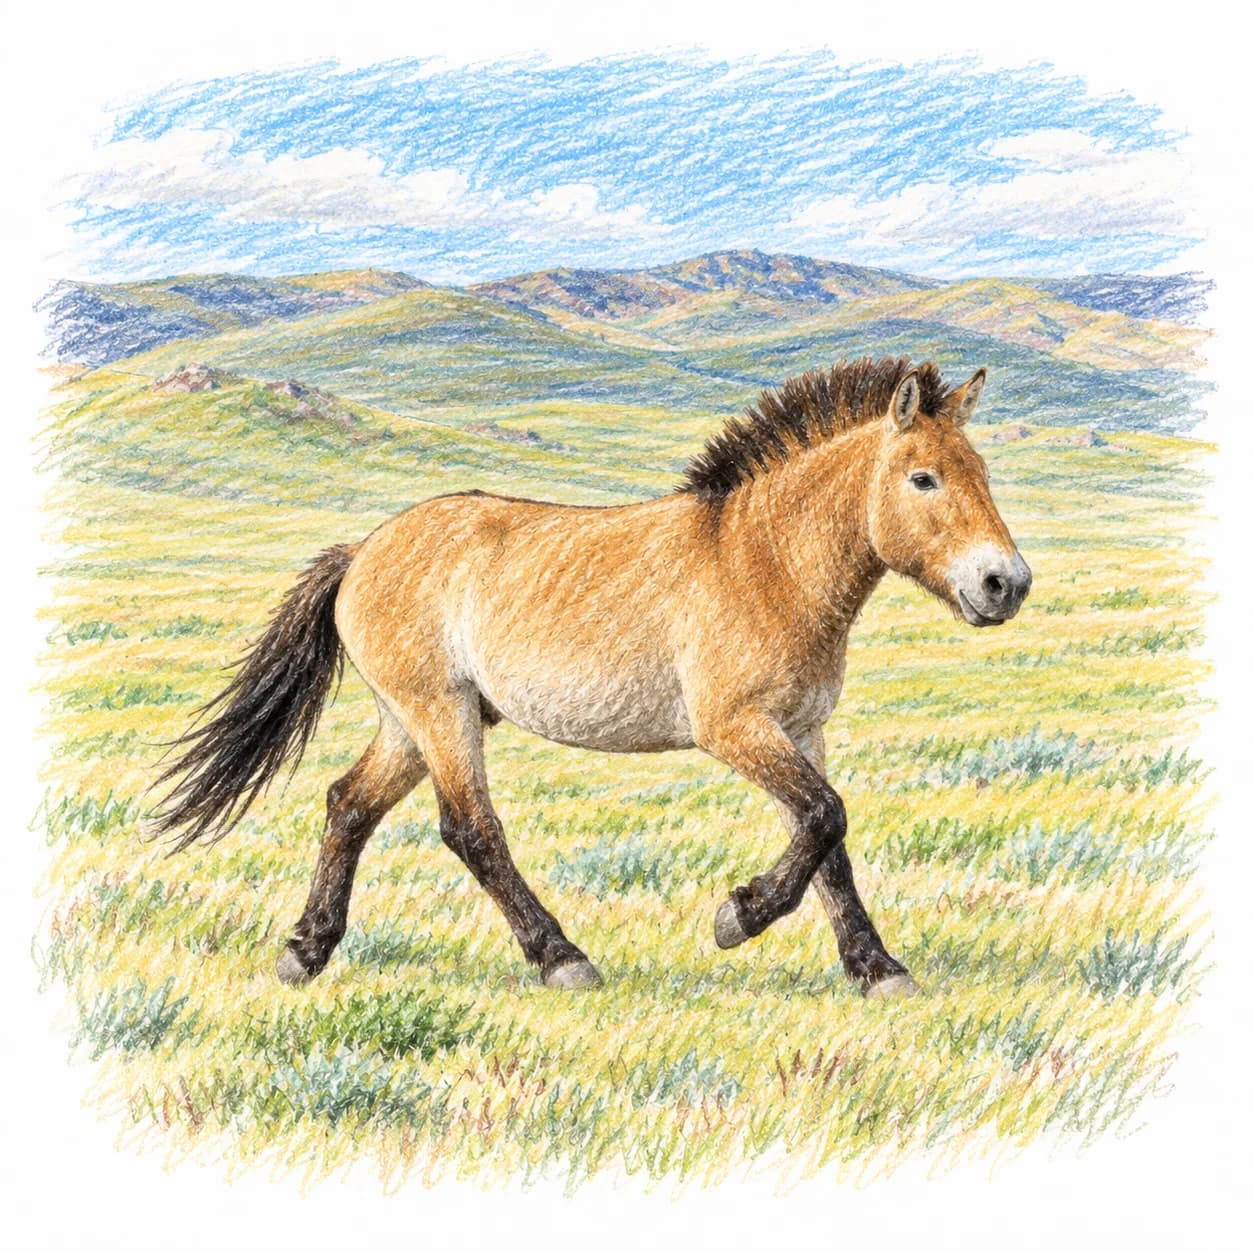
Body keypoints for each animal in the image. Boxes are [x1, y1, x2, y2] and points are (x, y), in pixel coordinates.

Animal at [150, 356, 1031, 1000]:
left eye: (984, 471)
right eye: (924, 478)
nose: (1006, 585)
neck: (766, 559)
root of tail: (362, 550)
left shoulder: (802, 730)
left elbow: (828, 844)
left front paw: (877, 969)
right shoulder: (735, 728)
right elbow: (823, 819)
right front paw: (737, 919)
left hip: (414, 720)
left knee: (348, 806)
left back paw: (306, 952)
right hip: (439, 713)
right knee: (470, 829)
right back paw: (561, 958)